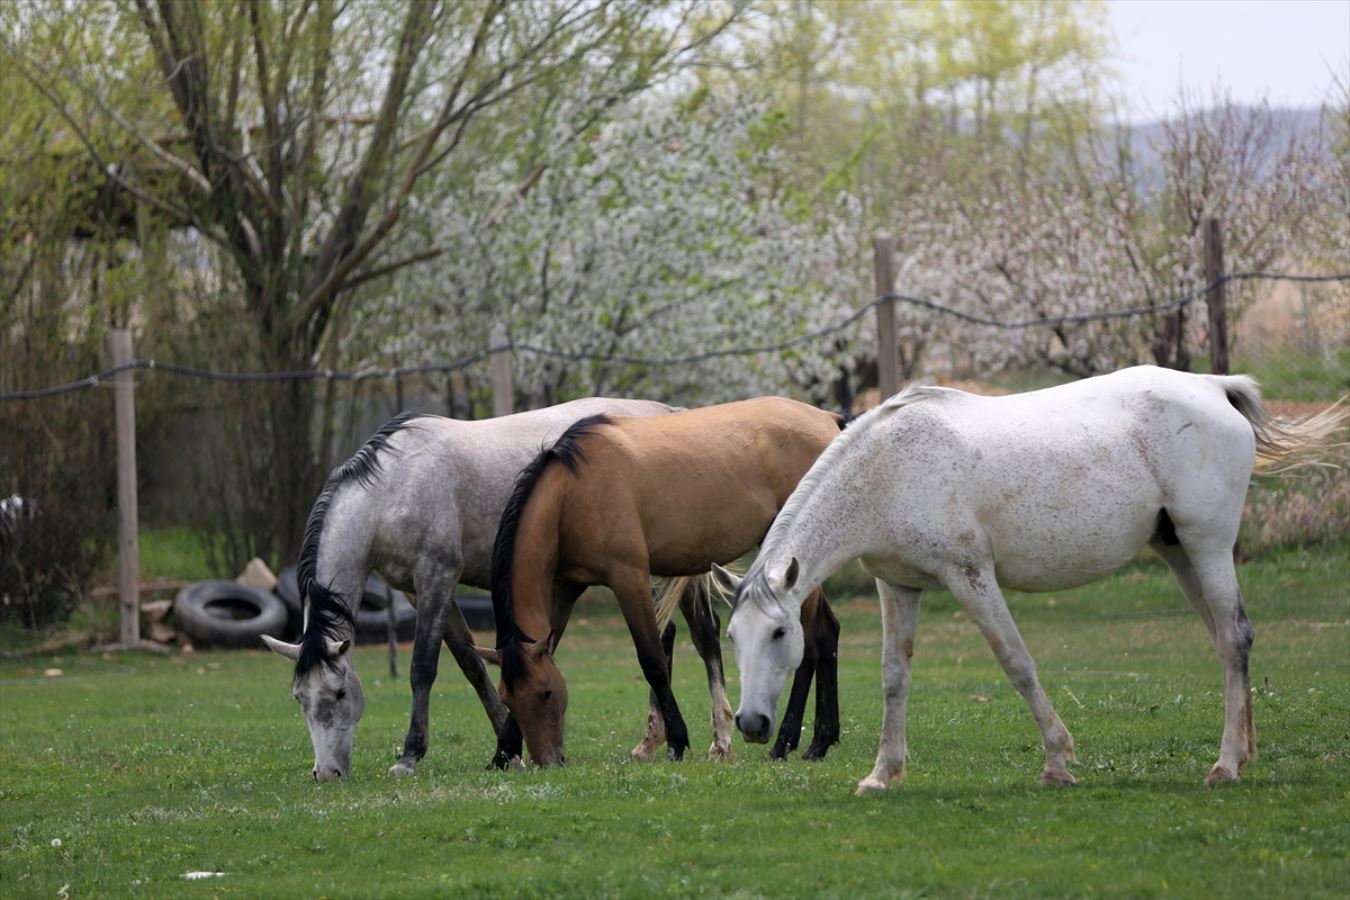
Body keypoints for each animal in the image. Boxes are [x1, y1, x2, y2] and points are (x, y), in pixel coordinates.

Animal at [261, 396, 669, 777]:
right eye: (299, 698)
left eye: (340, 692)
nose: (326, 773)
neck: (393, 488)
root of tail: (666, 411)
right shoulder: (419, 590)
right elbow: (472, 664)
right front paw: (508, 748)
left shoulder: (436, 578)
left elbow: (423, 668)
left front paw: (409, 756)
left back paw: (655, 742)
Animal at [477, 399, 842, 766]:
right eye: (508, 699)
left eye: (547, 693)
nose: (548, 761)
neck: (575, 490)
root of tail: (828, 418)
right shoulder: (565, 588)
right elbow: (551, 646)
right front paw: (503, 751)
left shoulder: (629, 578)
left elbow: (652, 661)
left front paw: (677, 740)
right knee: (827, 632)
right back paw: (820, 742)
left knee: (809, 644)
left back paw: (784, 742)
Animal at [734, 367, 1344, 793]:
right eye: (734, 637)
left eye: (780, 633)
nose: (750, 723)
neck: (887, 469)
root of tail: (1214, 387)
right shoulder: (899, 588)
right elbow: (893, 679)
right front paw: (882, 775)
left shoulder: (971, 577)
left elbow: (1017, 663)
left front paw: (1057, 764)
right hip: (1181, 554)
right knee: (1224, 642)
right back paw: (1243, 752)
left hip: (1209, 546)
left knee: (1236, 637)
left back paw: (1225, 765)